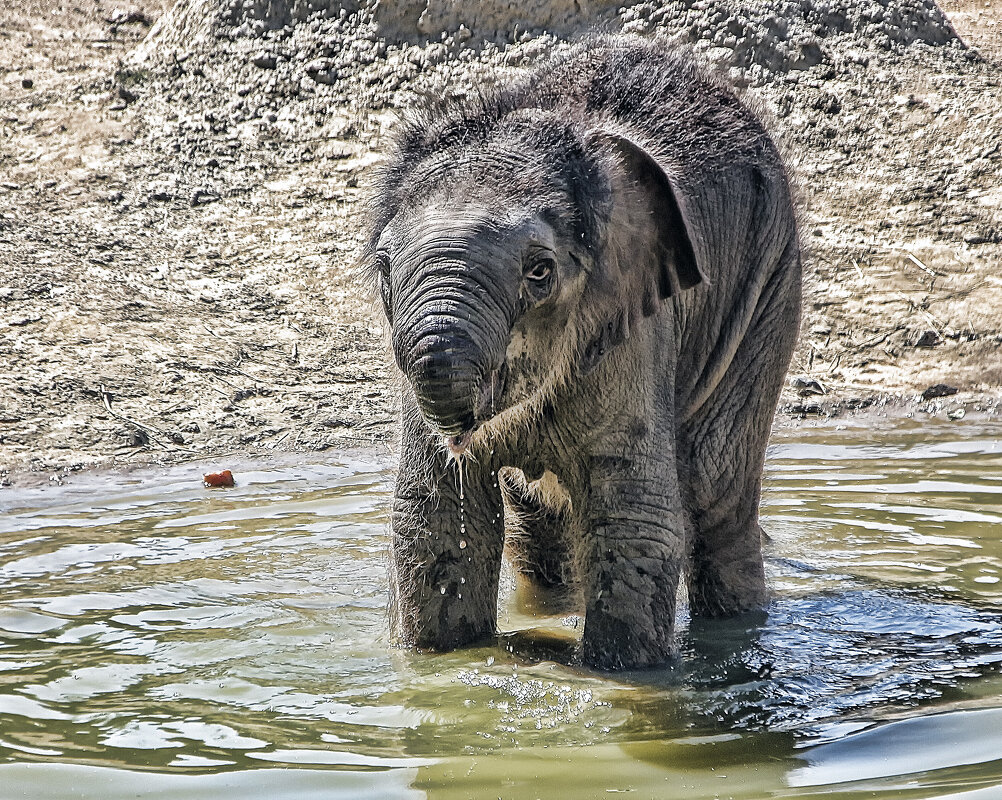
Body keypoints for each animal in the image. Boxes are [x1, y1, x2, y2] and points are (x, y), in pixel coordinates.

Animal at [366, 34, 797, 669]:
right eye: (383, 269)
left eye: (540, 272)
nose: (461, 433)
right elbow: (439, 517)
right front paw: (435, 663)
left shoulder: (635, 330)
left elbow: (633, 519)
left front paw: (620, 678)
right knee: (538, 531)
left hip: (768, 289)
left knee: (716, 496)